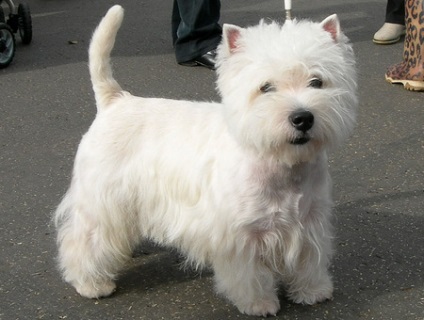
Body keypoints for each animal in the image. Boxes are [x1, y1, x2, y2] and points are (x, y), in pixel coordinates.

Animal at [53, 5, 358, 318]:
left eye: (317, 81)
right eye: (266, 87)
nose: (302, 118)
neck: (281, 164)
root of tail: (115, 101)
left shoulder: (310, 221)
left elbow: (310, 260)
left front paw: (313, 291)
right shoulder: (242, 234)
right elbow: (250, 274)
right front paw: (259, 304)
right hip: (101, 198)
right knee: (83, 239)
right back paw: (92, 283)